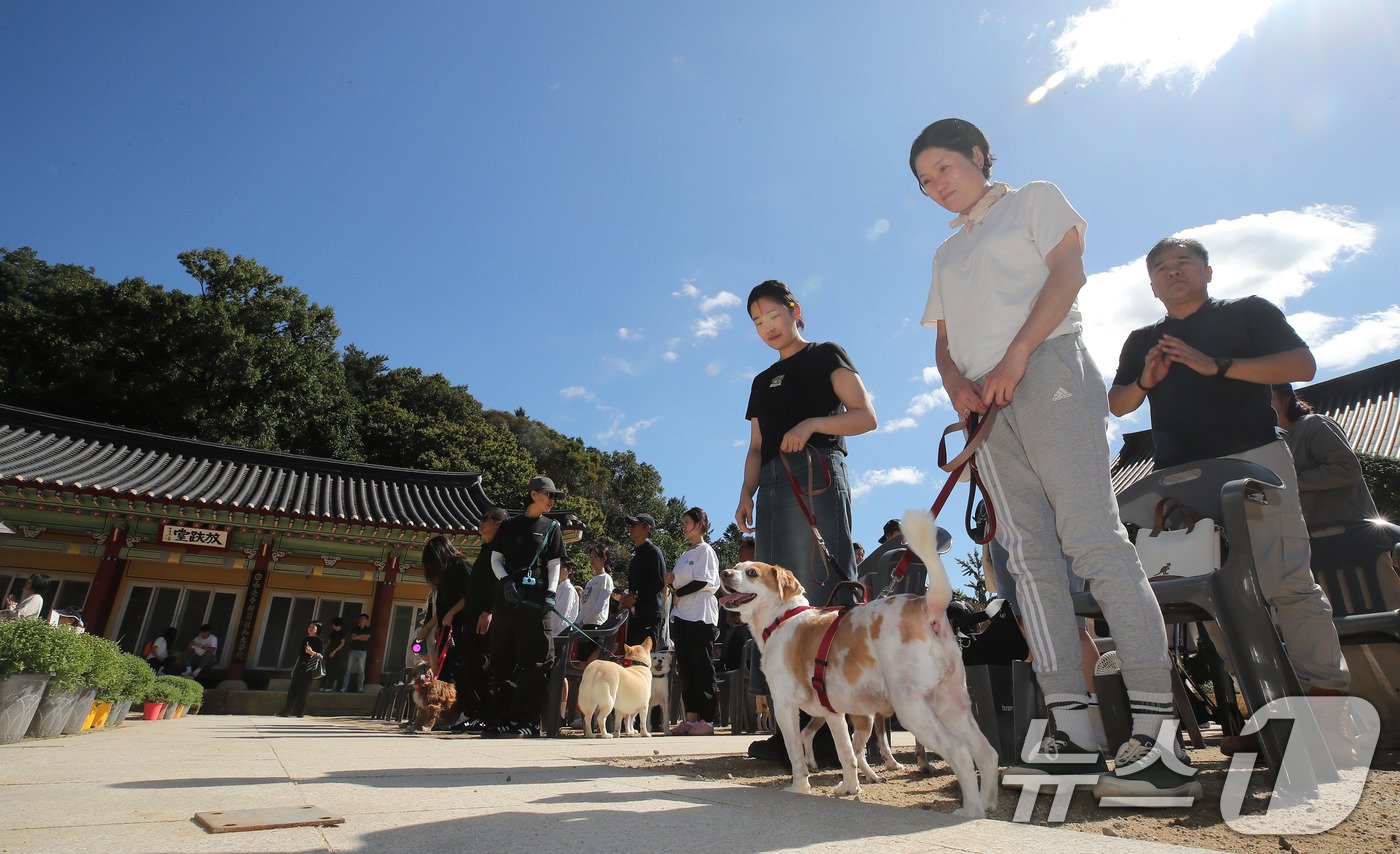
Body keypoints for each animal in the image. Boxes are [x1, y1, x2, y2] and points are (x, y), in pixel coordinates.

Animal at [722, 509, 996, 812]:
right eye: (736, 566)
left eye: (751, 572)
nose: (724, 572)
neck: (784, 618)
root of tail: (926, 606)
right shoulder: (834, 713)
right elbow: (847, 754)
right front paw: (850, 788)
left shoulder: (784, 706)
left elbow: (796, 754)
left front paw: (799, 787)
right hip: (952, 705)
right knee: (987, 752)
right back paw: (988, 804)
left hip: (913, 709)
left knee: (961, 751)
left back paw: (971, 810)